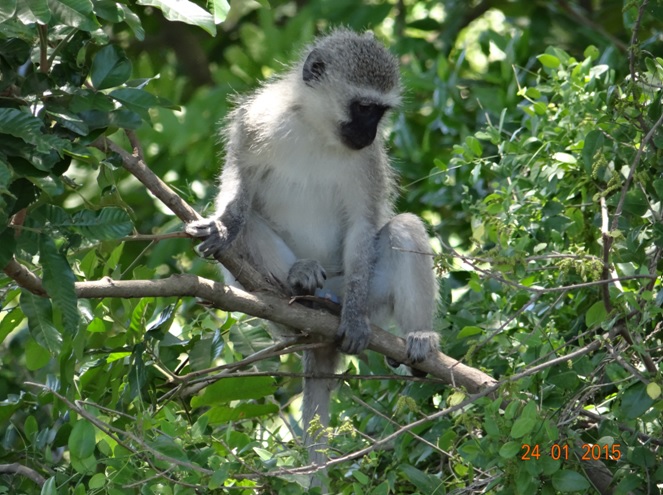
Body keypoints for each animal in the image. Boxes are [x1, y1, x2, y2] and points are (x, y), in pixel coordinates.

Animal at [184, 28, 438, 468]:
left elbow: (363, 226)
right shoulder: (253, 122)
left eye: (380, 112)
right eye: (363, 107)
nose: (369, 134)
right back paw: (297, 285)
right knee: (250, 226)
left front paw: (354, 318)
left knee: (404, 229)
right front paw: (223, 223)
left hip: (357, 289)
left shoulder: (367, 162)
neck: (316, 128)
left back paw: (415, 340)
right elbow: (238, 185)